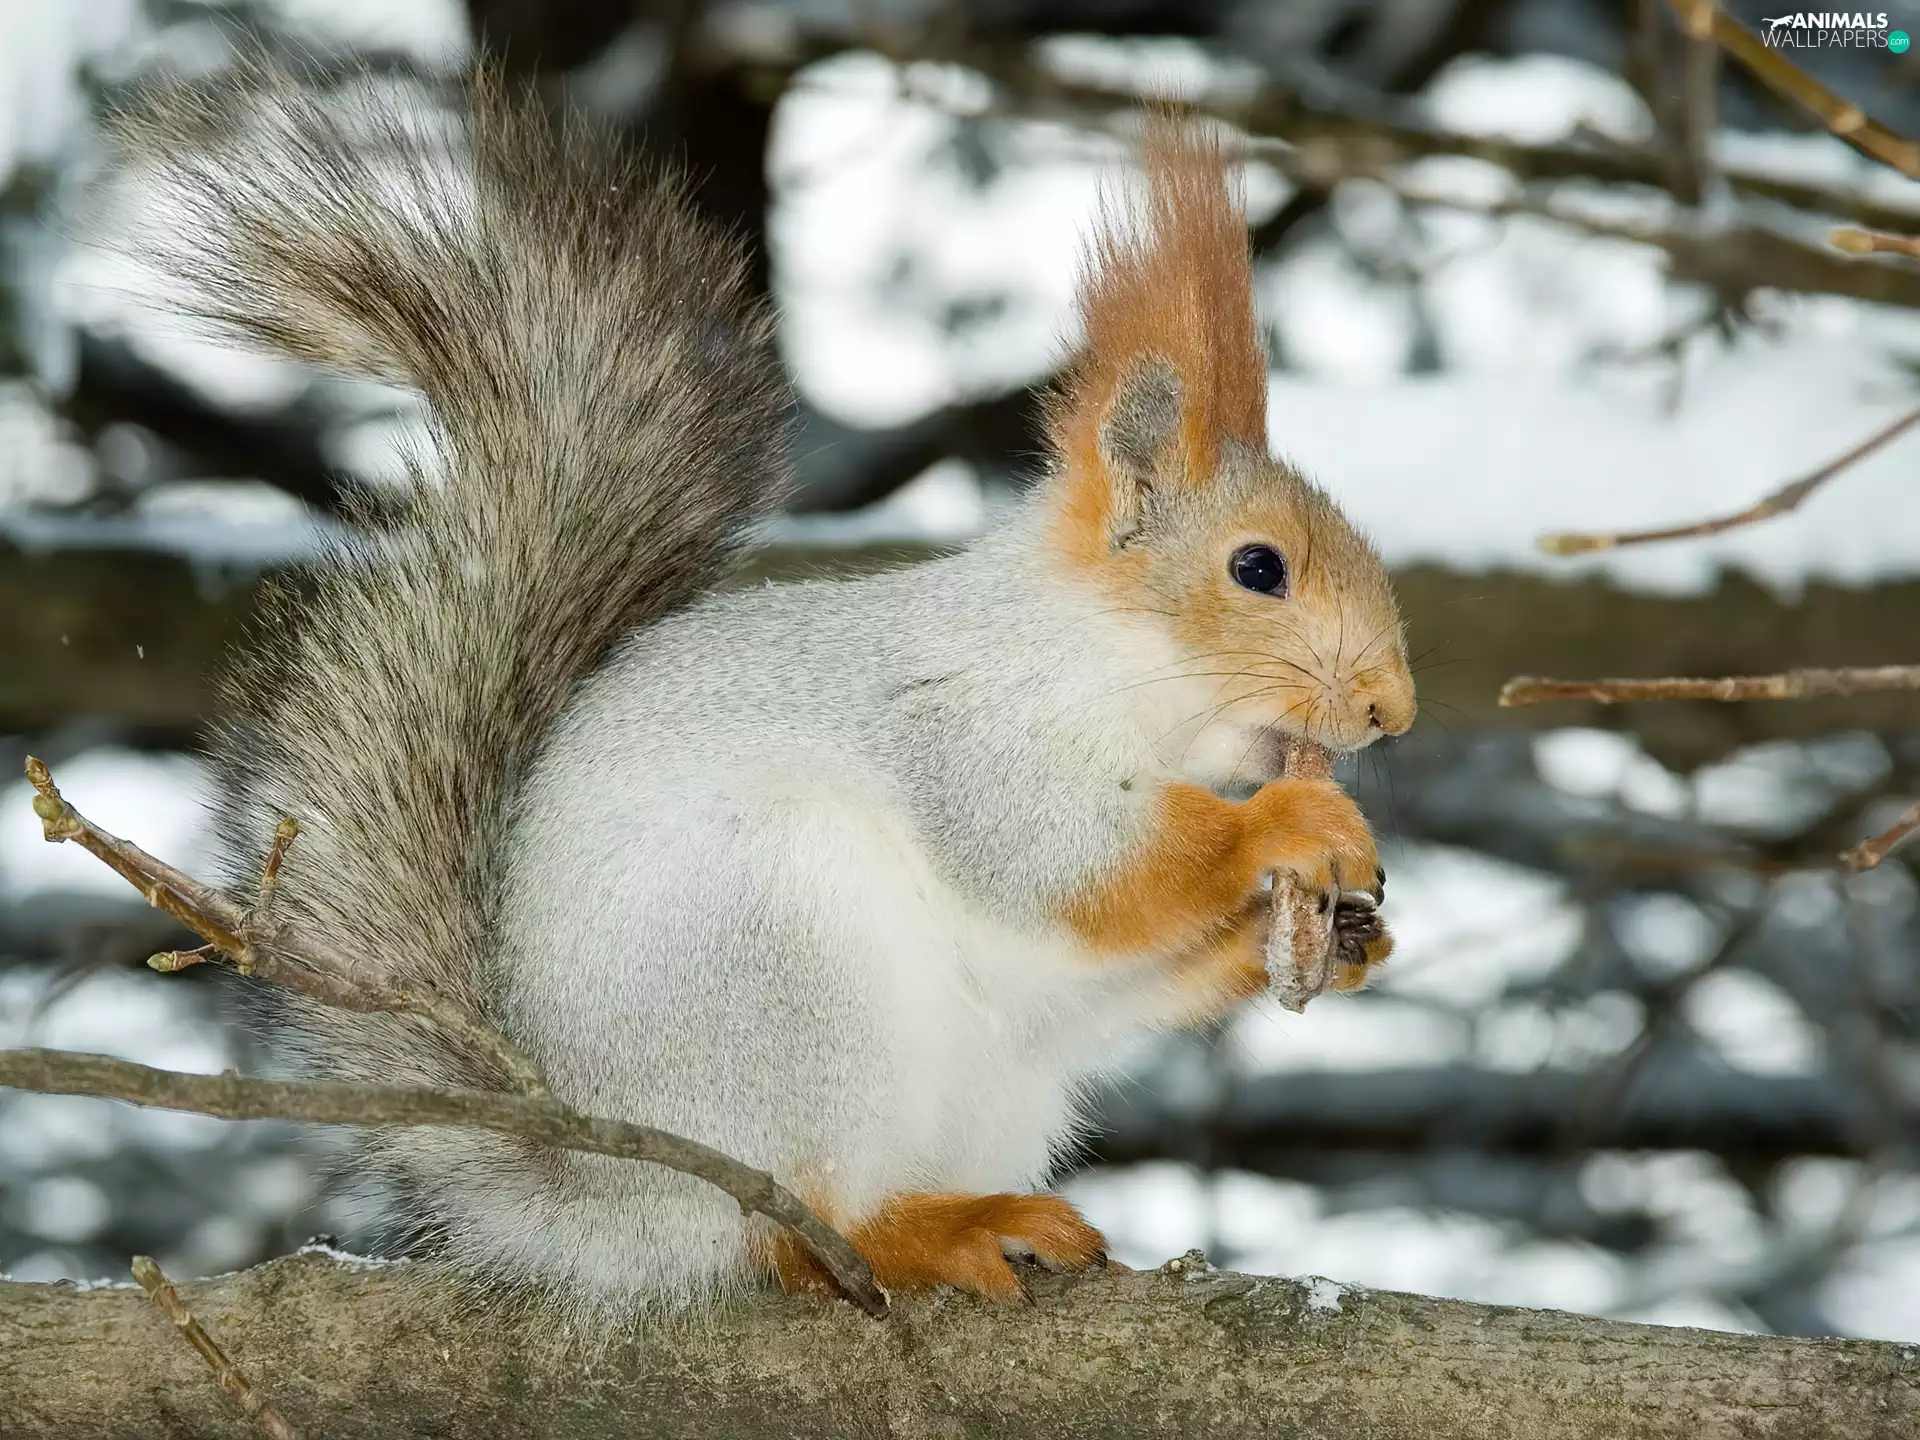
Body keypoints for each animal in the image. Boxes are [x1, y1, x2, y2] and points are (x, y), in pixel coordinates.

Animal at [121, 69, 1415, 1313]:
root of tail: (608, 1195)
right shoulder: (967, 731)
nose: (1390, 711)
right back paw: (921, 1234)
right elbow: (1064, 858)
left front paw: (1336, 935)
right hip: (783, 962)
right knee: (795, 1234)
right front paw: (1291, 823)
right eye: (1258, 568)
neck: (1108, 656)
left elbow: (1113, 970)